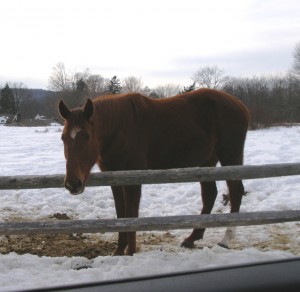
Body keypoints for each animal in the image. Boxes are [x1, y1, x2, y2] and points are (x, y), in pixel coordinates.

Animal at [58, 89, 248, 256]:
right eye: (63, 138)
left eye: (87, 136)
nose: (73, 184)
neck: (120, 129)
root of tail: (240, 105)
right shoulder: (115, 179)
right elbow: (121, 213)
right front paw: (119, 250)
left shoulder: (133, 179)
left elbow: (131, 214)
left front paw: (131, 252)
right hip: (206, 163)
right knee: (210, 194)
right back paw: (192, 238)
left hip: (230, 156)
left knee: (235, 191)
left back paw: (225, 240)